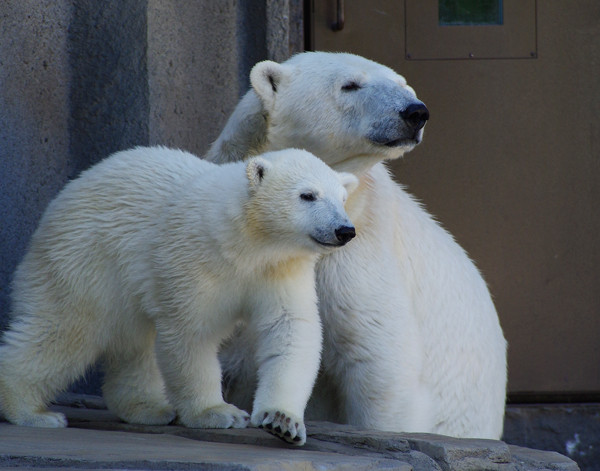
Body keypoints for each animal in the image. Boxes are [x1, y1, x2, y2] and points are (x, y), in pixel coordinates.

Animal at [0, 147, 356, 446]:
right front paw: (218, 412)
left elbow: (290, 328)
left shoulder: (280, 269)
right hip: (85, 261)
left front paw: (282, 421)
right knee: (65, 330)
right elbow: (190, 331)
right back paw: (31, 412)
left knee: (135, 343)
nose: (345, 230)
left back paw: (148, 407)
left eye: (342, 198)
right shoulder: (193, 254)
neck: (247, 239)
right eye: (307, 195)